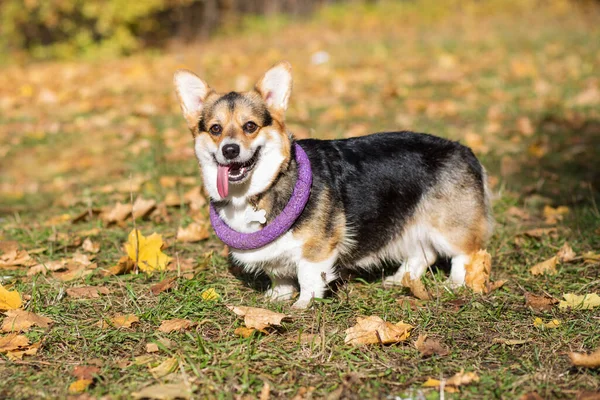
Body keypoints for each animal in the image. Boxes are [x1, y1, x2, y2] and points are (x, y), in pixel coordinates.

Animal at [173, 61, 492, 310]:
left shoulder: (317, 249)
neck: (257, 192)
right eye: (215, 129)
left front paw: (303, 304)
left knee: (466, 254)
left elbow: (308, 276)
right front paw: (277, 297)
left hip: (449, 226)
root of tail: (464, 150)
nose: (229, 150)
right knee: (422, 253)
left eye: (250, 126)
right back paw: (400, 279)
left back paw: (455, 284)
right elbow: (280, 275)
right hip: (410, 222)